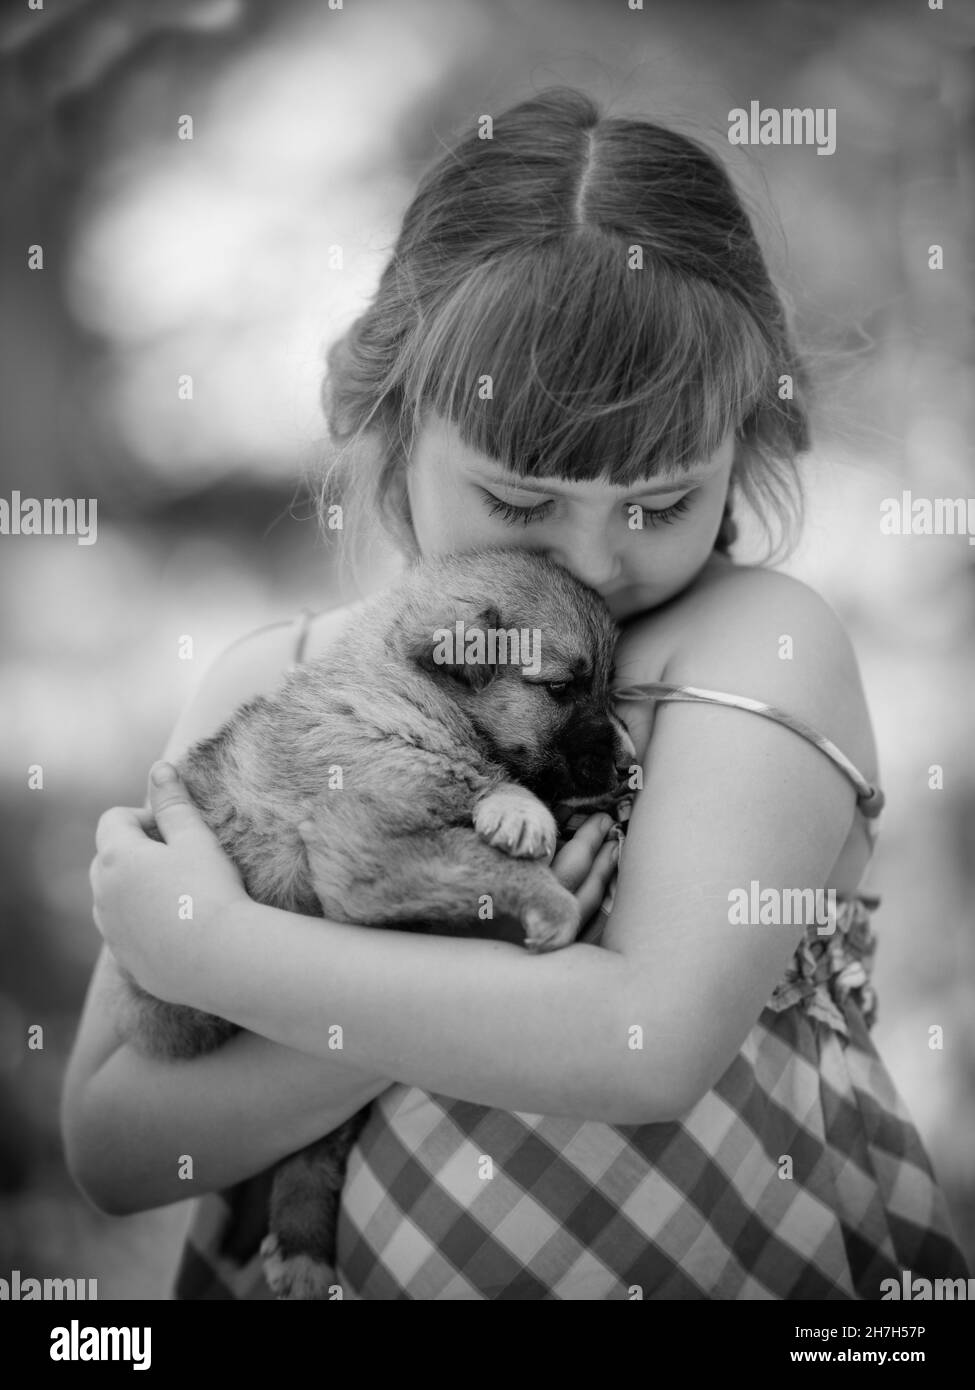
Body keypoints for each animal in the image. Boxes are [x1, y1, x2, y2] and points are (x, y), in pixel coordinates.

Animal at [121, 547, 634, 1295]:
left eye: (611, 686)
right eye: (563, 687)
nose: (630, 764)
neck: (410, 699)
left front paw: (528, 810)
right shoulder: (367, 846)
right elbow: (485, 845)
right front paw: (541, 871)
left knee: (313, 1156)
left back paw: (302, 1250)